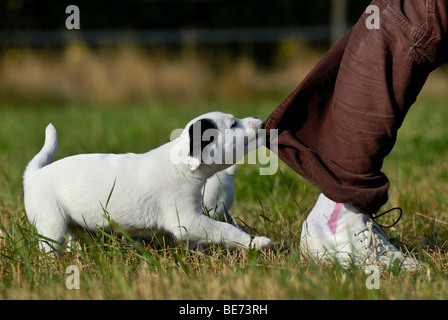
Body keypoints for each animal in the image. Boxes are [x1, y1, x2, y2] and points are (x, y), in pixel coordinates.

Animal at [22, 112, 272, 252]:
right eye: (233, 124)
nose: (261, 122)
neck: (181, 165)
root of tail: (34, 175)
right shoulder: (187, 219)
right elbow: (226, 230)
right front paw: (256, 242)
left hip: (74, 225)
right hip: (51, 224)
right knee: (50, 248)